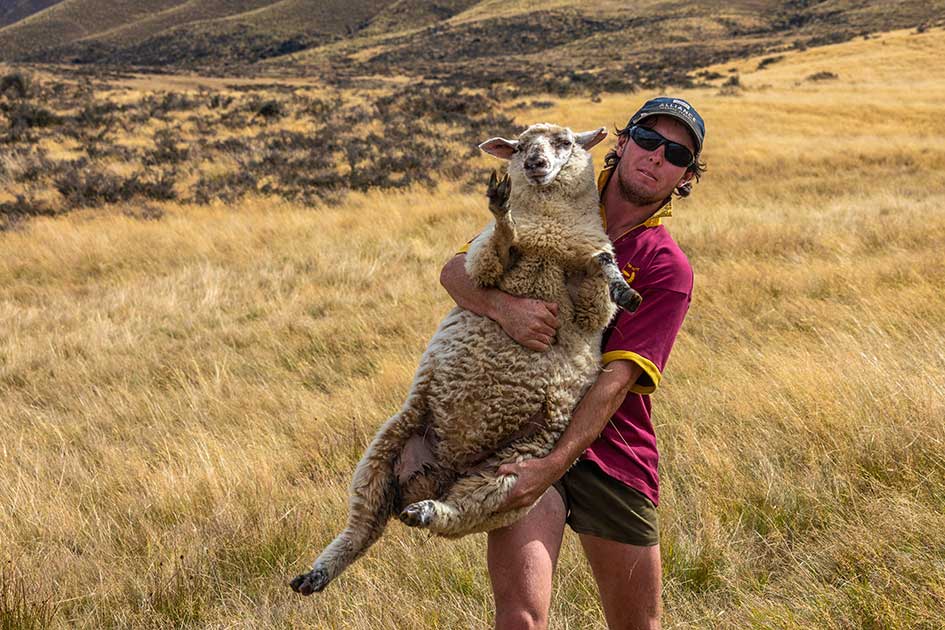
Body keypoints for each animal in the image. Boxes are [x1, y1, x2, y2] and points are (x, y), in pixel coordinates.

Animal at [292, 123, 636, 596]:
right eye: (520, 146)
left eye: (565, 142)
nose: (535, 163)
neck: (550, 237)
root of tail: (440, 473)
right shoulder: (485, 266)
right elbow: (498, 246)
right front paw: (501, 205)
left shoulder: (589, 302)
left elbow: (603, 272)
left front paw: (626, 289)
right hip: (385, 448)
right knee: (363, 526)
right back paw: (316, 575)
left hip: (509, 478)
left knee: (452, 514)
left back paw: (424, 513)